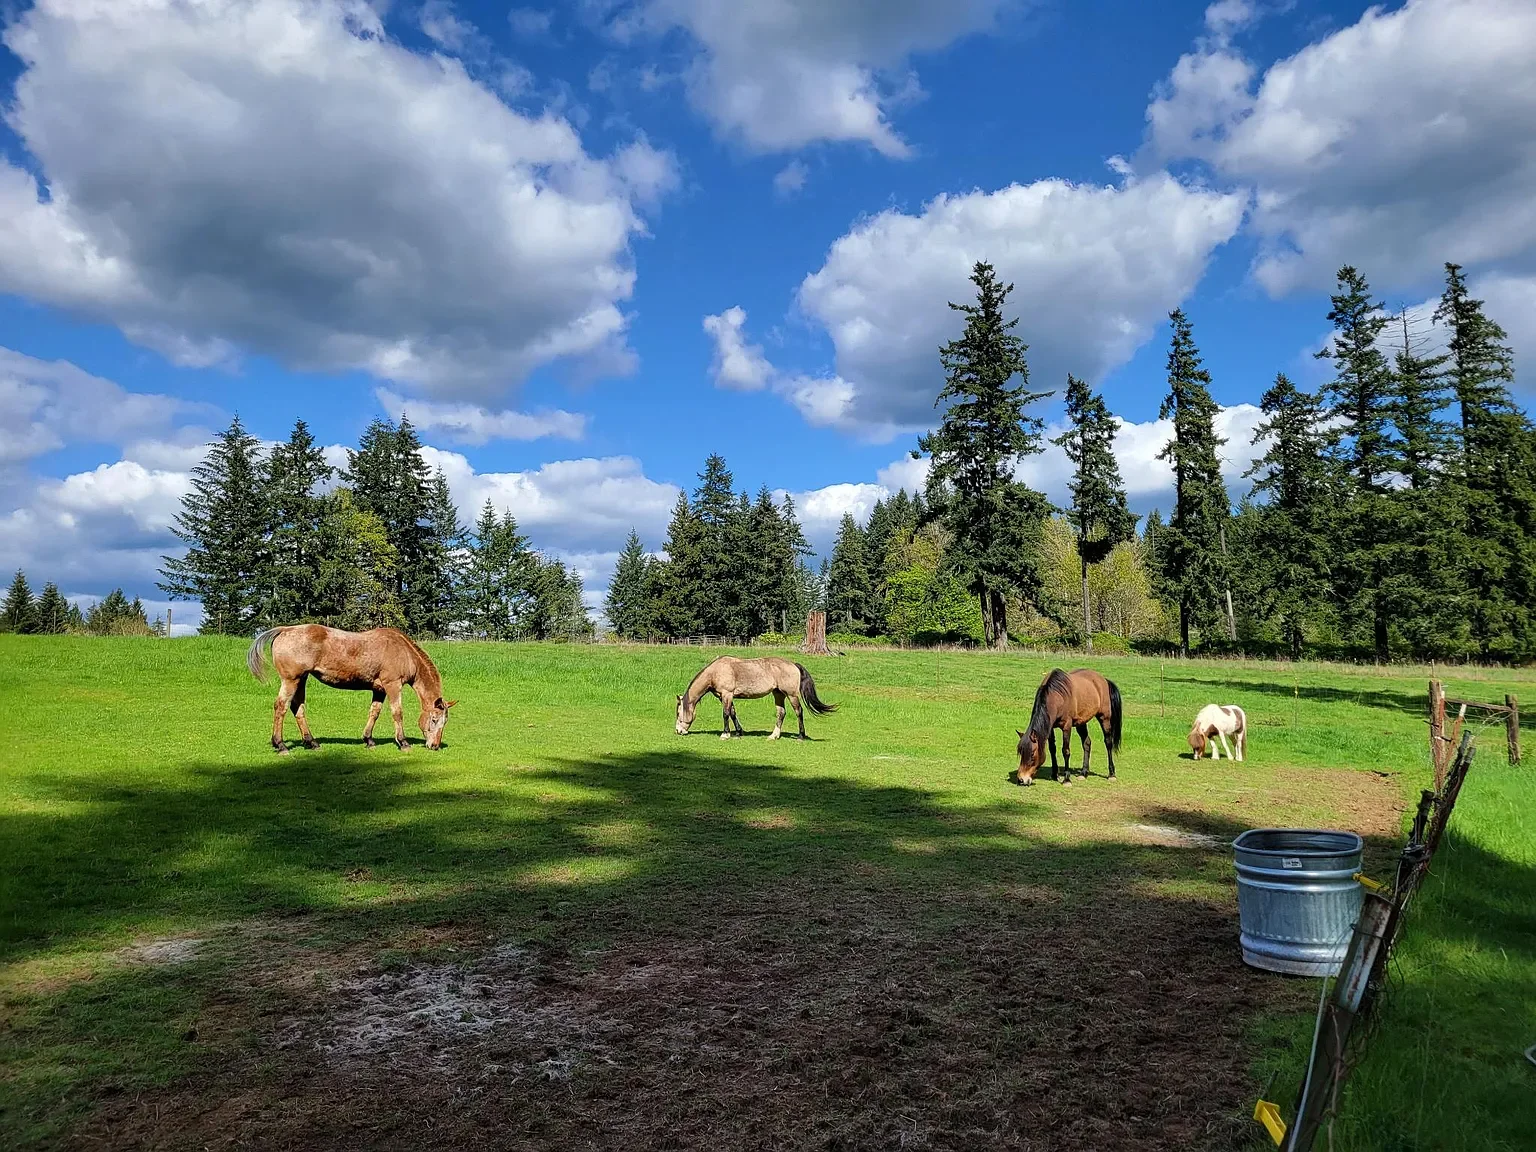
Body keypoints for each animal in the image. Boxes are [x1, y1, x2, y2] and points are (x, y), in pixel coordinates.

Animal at [247, 624, 457, 754]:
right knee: (281, 706)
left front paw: (369, 740)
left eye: (445, 722)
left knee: (297, 707)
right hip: (291, 680)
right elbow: (397, 713)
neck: (403, 651)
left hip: (302, 679)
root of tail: (285, 629)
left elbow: (374, 712)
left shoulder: (379, 689)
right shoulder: (392, 685)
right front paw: (403, 742)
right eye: (434, 719)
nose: (435, 746)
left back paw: (311, 742)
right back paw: (280, 744)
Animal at [675, 655, 836, 740]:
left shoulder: (727, 694)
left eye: (678, 713)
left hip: (791, 695)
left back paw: (801, 736)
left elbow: (726, 714)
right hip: (778, 694)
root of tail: (793, 664)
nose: (678, 731)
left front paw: (725, 734)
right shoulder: (725, 697)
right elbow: (733, 713)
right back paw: (774, 736)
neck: (716, 671)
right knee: (781, 713)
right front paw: (738, 732)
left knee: (799, 712)